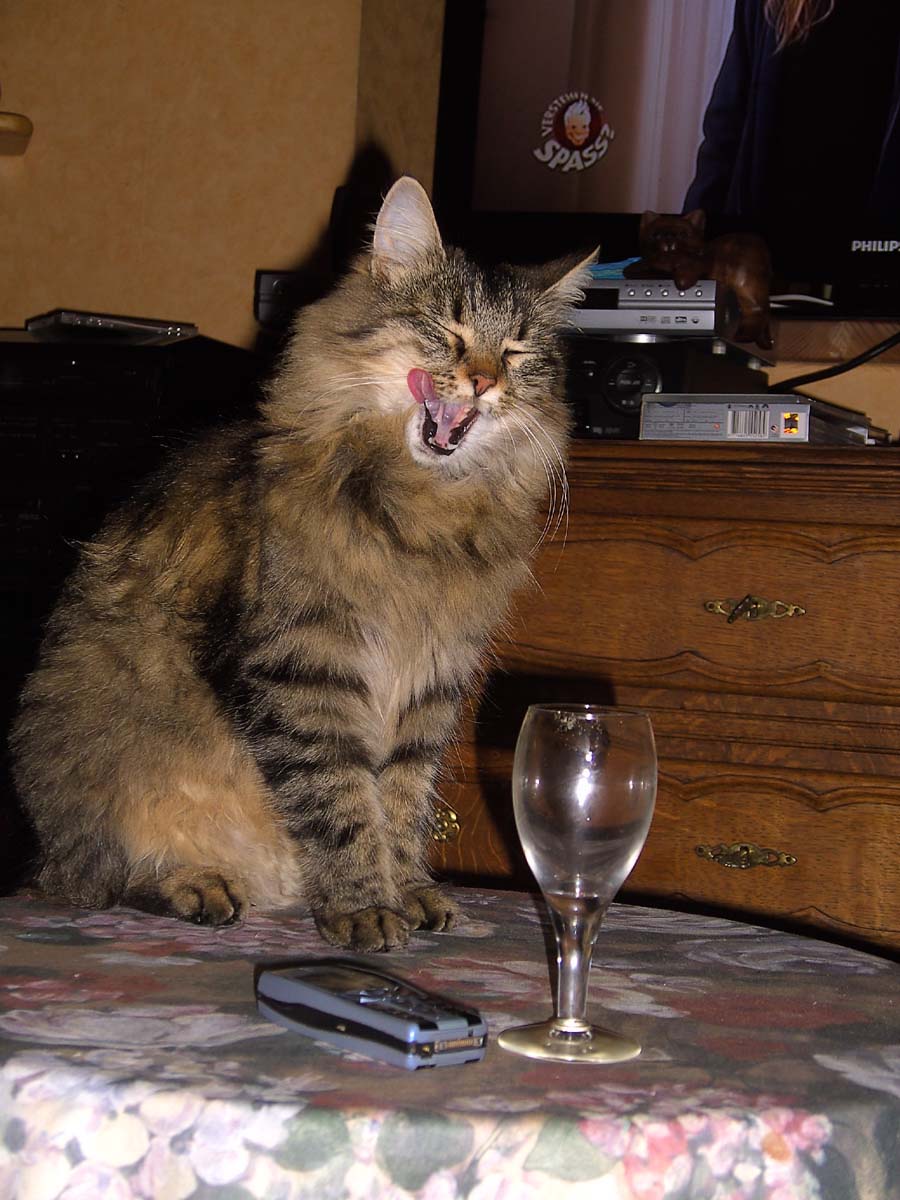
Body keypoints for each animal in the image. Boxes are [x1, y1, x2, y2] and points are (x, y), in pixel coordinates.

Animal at [9, 177, 593, 952]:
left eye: (519, 353)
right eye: (448, 331)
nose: (482, 381)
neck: (422, 514)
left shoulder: (430, 682)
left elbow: (400, 802)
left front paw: (409, 892)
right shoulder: (305, 666)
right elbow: (339, 800)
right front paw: (365, 908)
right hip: (105, 790)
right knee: (104, 879)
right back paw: (201, 886)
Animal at [624, 209, 773, 349]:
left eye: (683, 234)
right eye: (656, 234)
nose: (668, 237)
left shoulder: (696, 266)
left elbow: (684, 276)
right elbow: (634, 269)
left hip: (744, 282)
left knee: (759, 311)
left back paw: (745, 337)